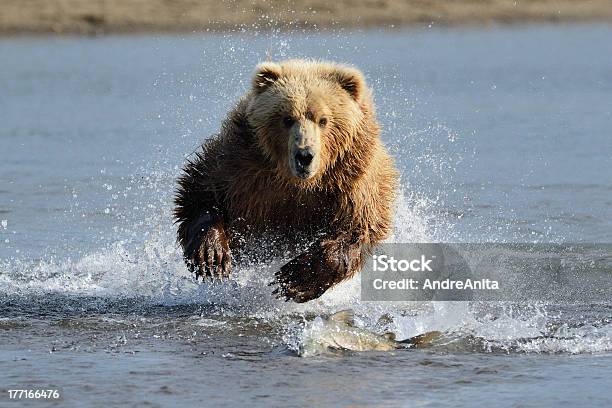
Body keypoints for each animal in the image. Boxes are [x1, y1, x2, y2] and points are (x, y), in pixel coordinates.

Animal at [175, 60, 400, 302]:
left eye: (323, 120)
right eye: (287, 118)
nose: (305, 155)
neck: (297, 182)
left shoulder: (352, 181)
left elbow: (357, 227)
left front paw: (295, 279)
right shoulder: (241, 164)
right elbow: (202, 190)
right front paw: (211, 255)